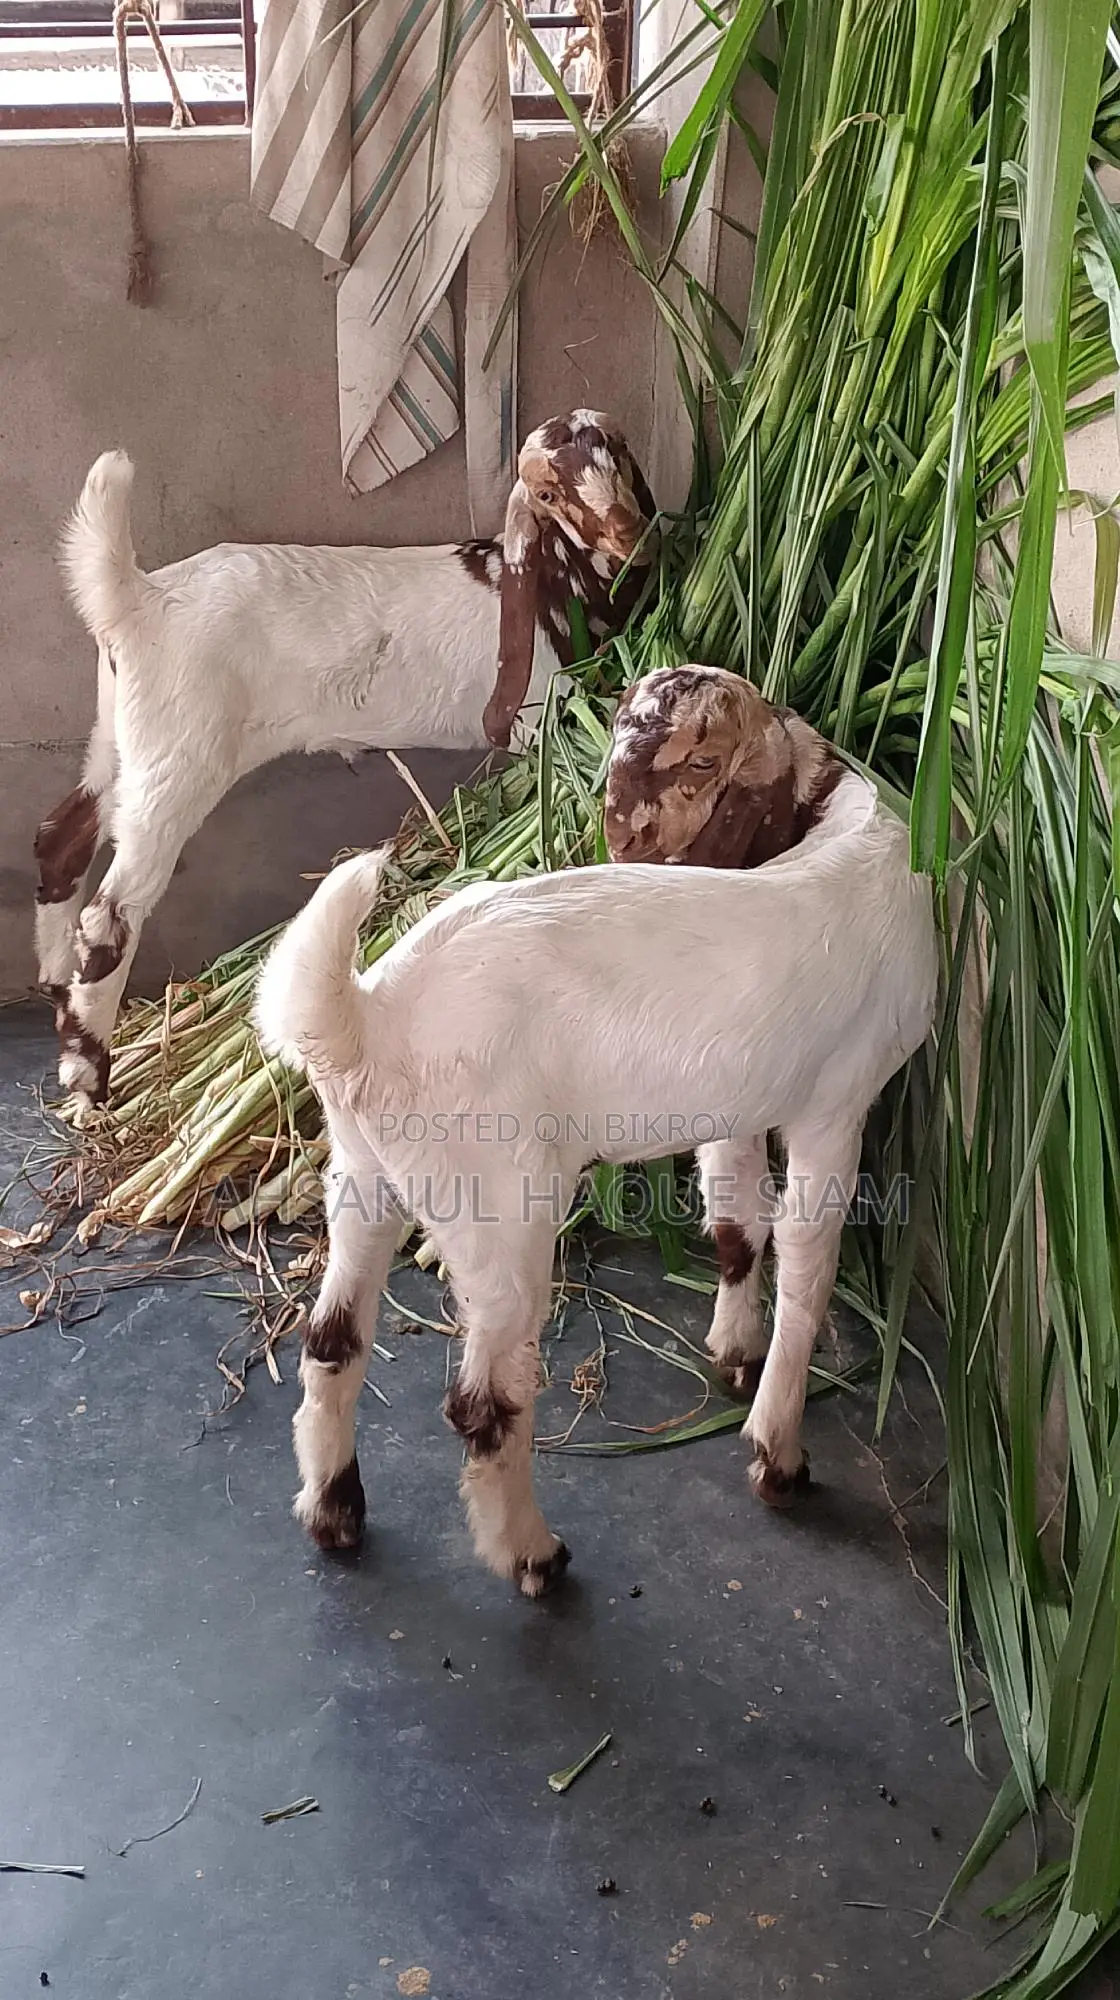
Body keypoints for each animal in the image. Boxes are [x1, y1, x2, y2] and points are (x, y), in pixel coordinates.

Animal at [35, 410, 655, 1112]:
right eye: (549, 493)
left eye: (619, 457)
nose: (628, 532)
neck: (554, 580)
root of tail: (136, 598)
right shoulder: (537, 713)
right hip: (175, 761)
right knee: (110, 914)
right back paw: (88, 1079)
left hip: (115, 741)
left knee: (60, 842)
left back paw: (57, 996)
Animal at [254, 789, 936, 1595]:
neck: (859, 841)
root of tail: (365, 1021)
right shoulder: (835, 1103)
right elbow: (808, 1261)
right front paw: (780, 1460)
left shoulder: (736, 1101)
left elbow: (739, 1219)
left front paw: (735, 1352)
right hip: (497, 1196)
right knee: (482, 1402)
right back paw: (534, 1557)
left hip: (364, 1176)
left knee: (331, 1341)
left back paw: (334, 1512)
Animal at [603, 662, 849, 1393]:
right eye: (613, 737)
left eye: (703, 762)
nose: (623, 838)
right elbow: (738, 1214)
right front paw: (737, 1346)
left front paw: (740, 1349)